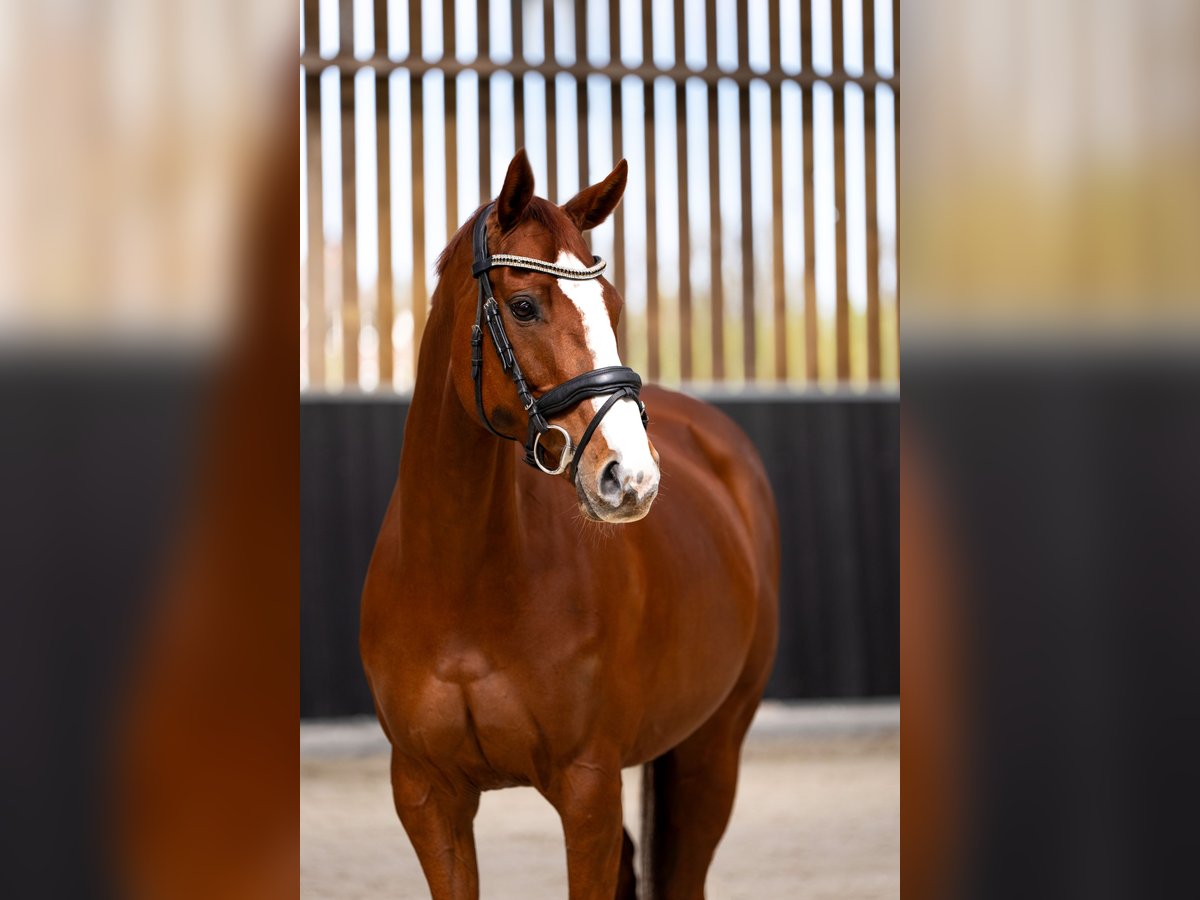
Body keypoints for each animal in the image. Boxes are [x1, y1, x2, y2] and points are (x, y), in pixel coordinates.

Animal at [360, 149, 780, 900]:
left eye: (611, 305)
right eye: (524, 305)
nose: (631, 477)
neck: (460, 586)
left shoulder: (587, 789)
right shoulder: (426, 793)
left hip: (712, 748)